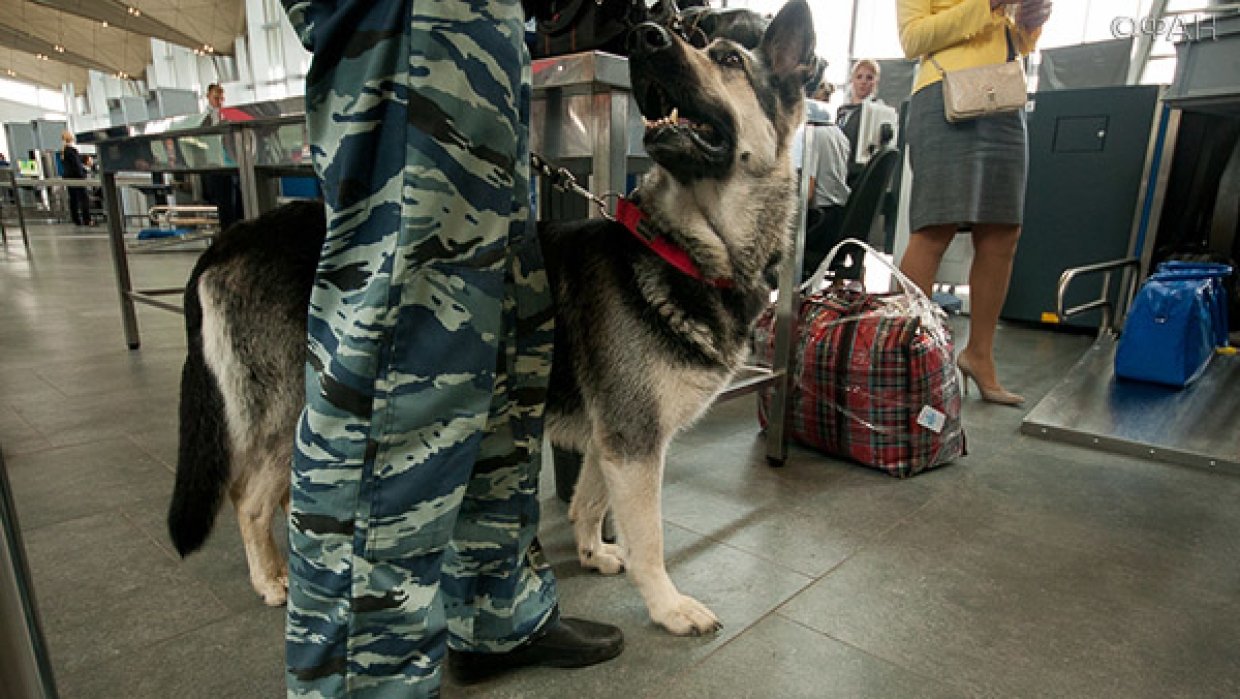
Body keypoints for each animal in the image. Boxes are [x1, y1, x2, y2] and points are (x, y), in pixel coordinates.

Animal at [169, 0, 818, 634]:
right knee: (249, 499)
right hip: (299, 407)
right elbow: (650, 539)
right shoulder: (634, 443)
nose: (645, 37)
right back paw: (272, 580)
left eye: (730, 59)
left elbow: (589, 501)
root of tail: (231, 238)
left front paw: (593, 553)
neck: (677, 244)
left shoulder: (612, 440)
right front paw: (666, 605)